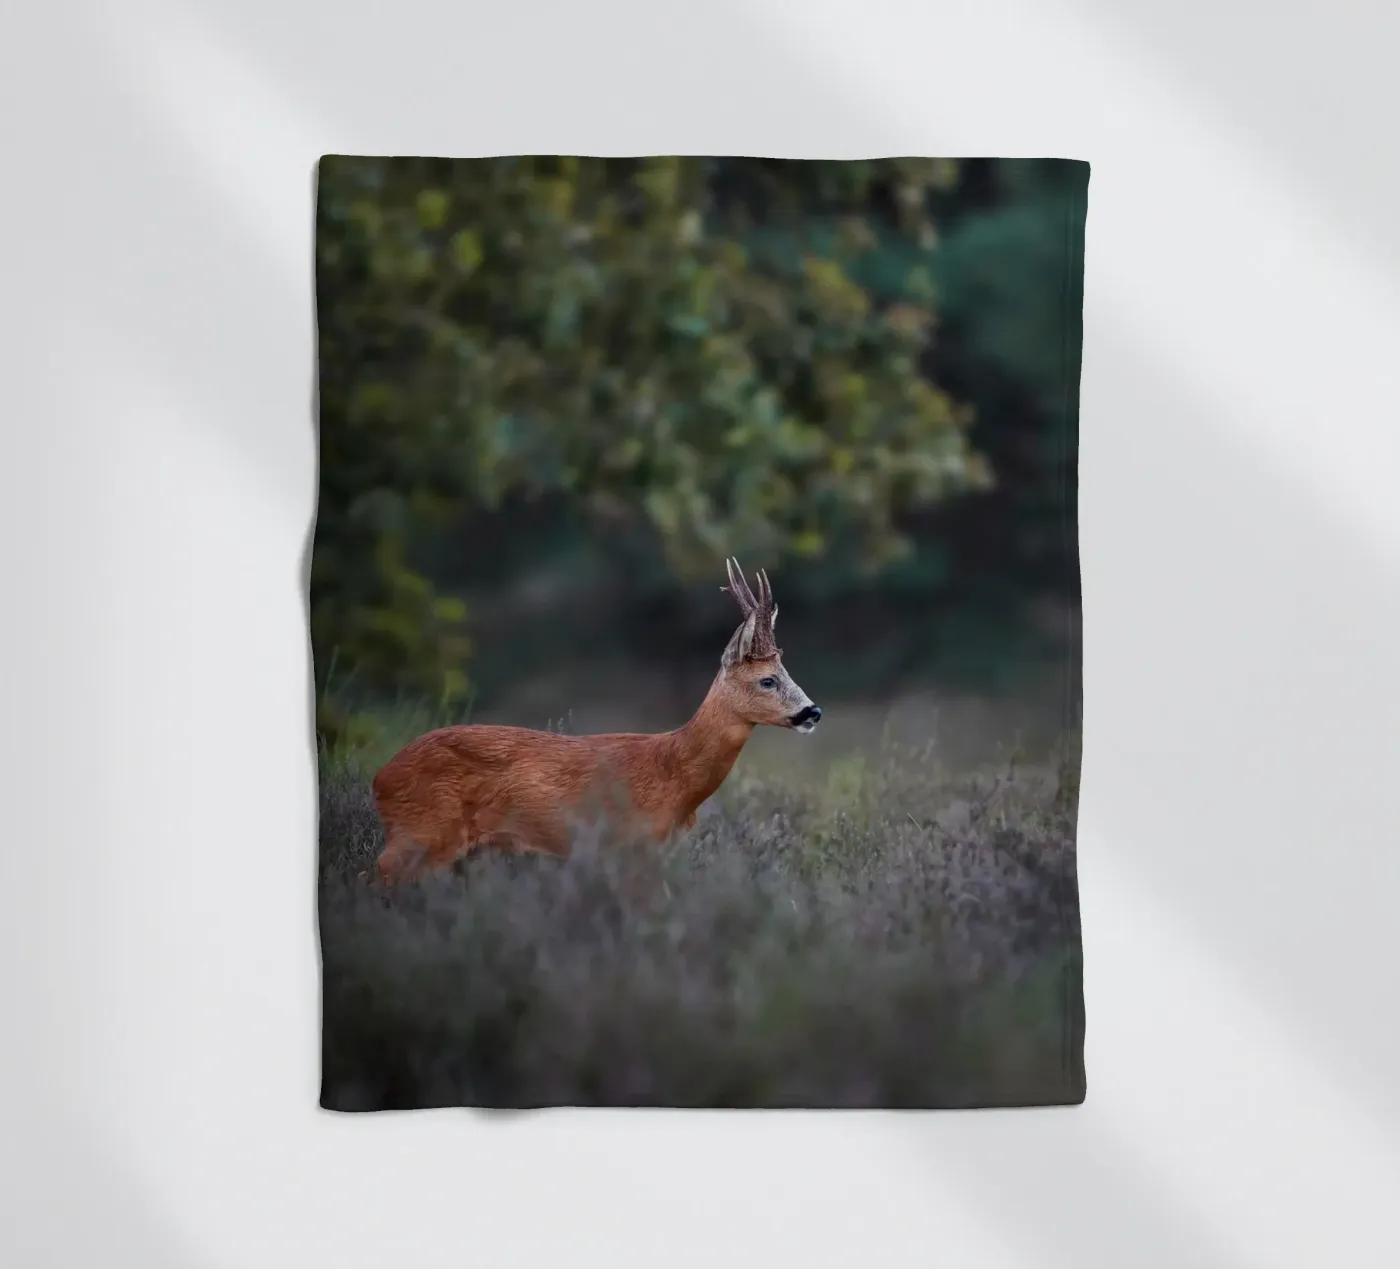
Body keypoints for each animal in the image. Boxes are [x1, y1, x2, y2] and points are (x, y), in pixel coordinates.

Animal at [369, 558, 821, 883]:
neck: (674, 774)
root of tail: (380, 778)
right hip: (422, 833)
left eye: (786, 671)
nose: (812, 712)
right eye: (767, 679)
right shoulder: (631, 845)